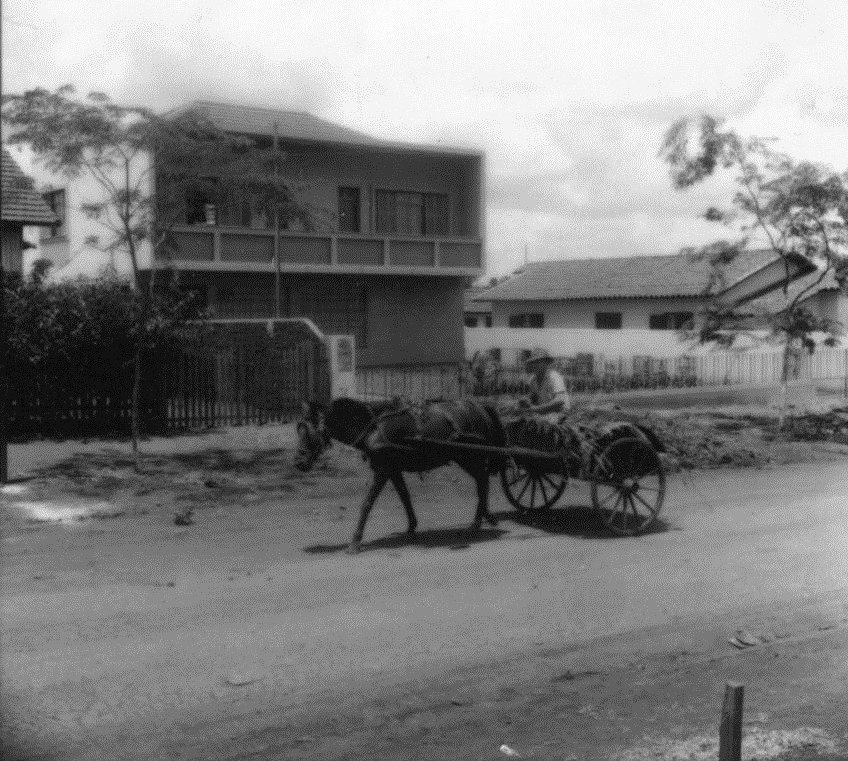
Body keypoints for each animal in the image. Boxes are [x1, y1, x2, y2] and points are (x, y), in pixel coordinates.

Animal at [294, 398, 506, 552]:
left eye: (307, 432)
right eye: (299, 430)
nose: (298, 462)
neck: (373, 428)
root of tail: (481, 406)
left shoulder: (383, 469)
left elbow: (367, 504)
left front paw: (355, 542)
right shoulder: (393, 469)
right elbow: (405, 496)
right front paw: (411, 526)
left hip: (469, 456)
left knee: (483, 481)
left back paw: (476, 523)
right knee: (482, 481)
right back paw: (485, 517)